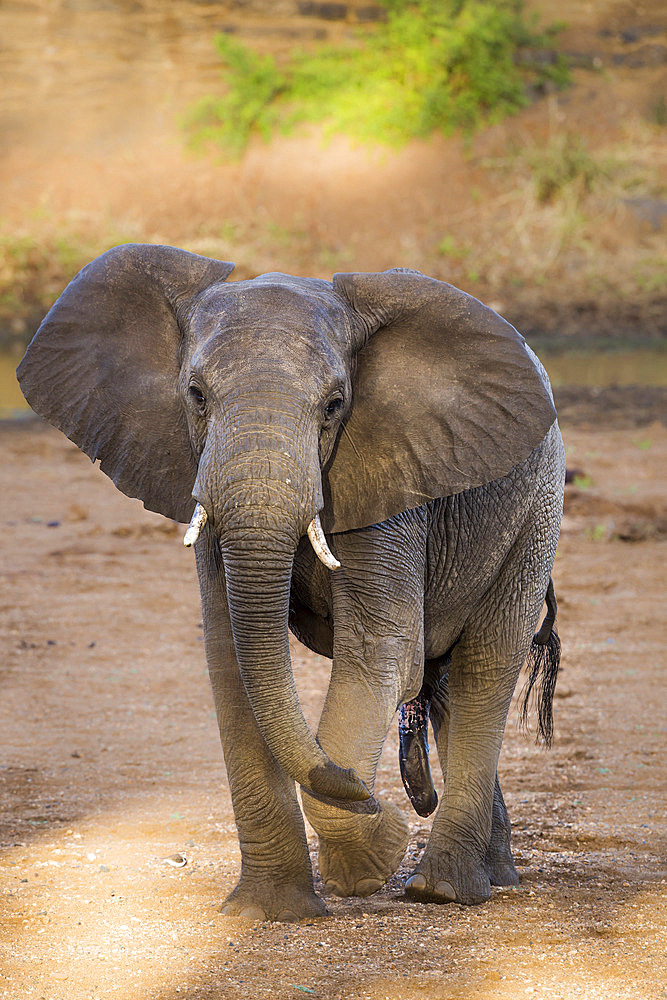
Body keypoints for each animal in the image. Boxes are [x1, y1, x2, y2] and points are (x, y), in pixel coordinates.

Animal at [17, 242, 564, 920]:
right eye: (196, 395)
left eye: (334, 405)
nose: (377, 794)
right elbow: (231, 659)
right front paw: (269, 911)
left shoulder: (388, 482)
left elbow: (380, 653)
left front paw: (366, 857)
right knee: (447, 691)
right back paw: (489, 875)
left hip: (536, 514)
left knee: (484, 665)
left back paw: (444, 891)